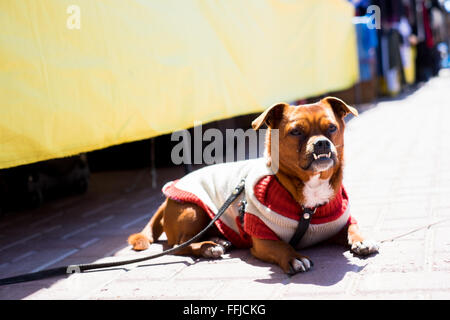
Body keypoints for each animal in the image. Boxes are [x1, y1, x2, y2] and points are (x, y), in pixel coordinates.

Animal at [128, 97, 378, 276]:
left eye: (332, 128)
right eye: (296, 132)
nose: (322, 143)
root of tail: (165, 200)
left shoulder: (340, 222)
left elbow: (353, 228)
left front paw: (362, 240)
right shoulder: (262, 238)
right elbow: (281, 247)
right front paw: (294, 257)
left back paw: (217, 240)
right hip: (193, 211)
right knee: (179, 245)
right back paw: (210, 247)